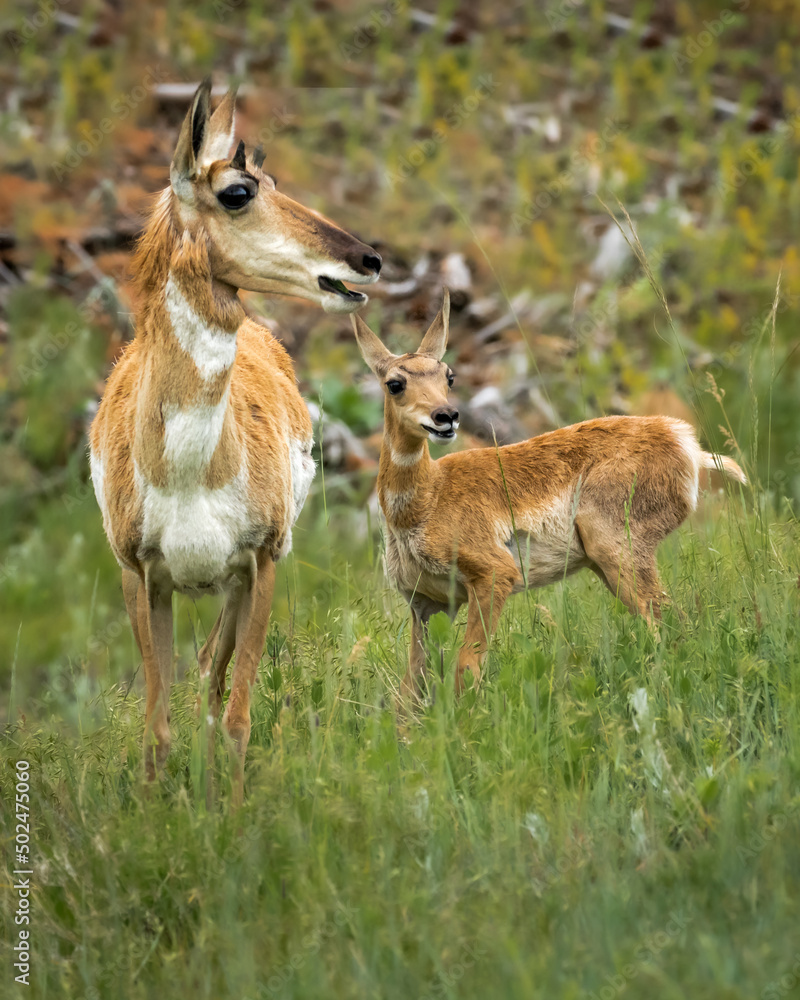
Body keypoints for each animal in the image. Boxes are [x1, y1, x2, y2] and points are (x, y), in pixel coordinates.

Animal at [90, 79, 382, 803]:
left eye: (272, 177)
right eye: (239, 191)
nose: (367, 258)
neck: (187, 473)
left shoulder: (261, 563)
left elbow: (238, 714)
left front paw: (237, 812)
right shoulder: (140, 574)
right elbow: (157, 725)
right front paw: (157, 813)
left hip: (230, 584)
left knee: (213, 678)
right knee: (200, 674)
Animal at [351, 290, 747, 705]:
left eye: (449, 375)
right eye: (395, 383)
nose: (447, 416)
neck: (426, 501)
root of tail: (685, 441)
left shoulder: (495, 574)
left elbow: (467, 668)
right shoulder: (427, 604)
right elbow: (409, 690)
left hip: (615, 550)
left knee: (665, 627)